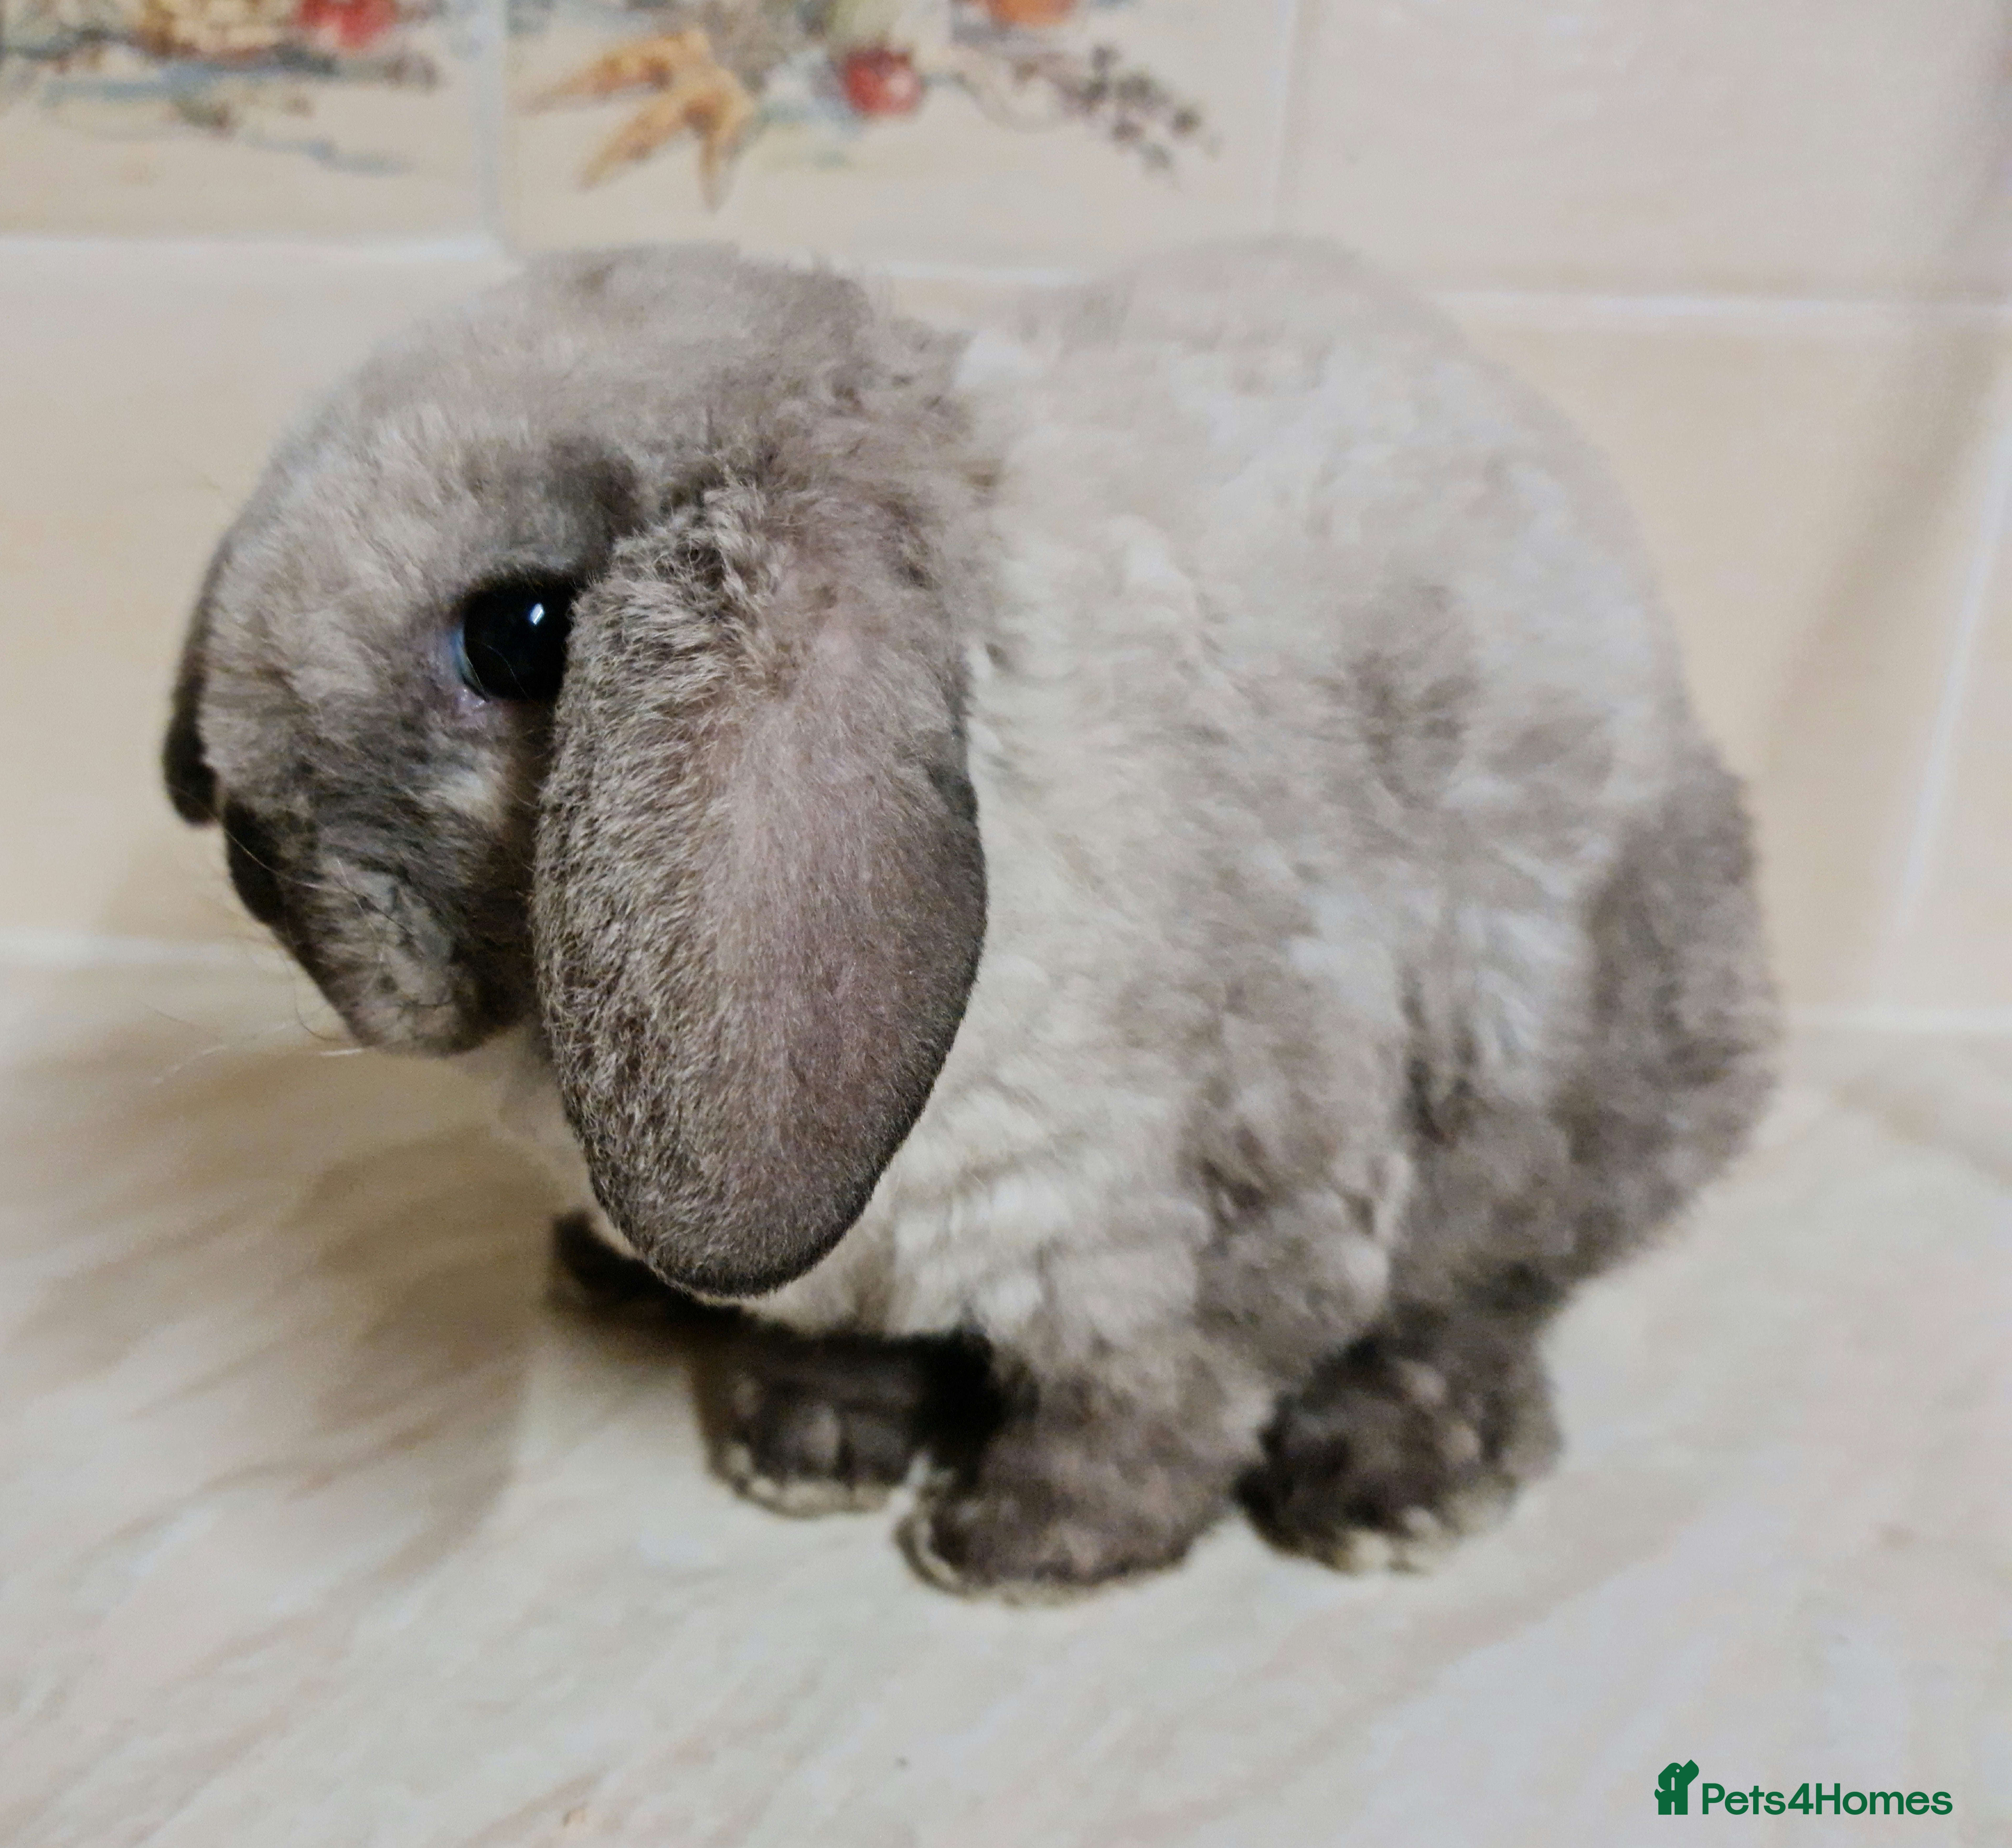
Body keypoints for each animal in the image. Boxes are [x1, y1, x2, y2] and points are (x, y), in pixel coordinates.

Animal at [163, 238, 1776, 1598]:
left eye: (521, 635)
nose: (242, 851)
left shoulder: (1213, 1228)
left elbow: (1157, 1408)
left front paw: (1018, 1548)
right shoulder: (856, 1267)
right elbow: (851, 1350)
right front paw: (804, 1452)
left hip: (1579, 1086)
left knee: (1484, 1303)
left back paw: (1398, 1486)